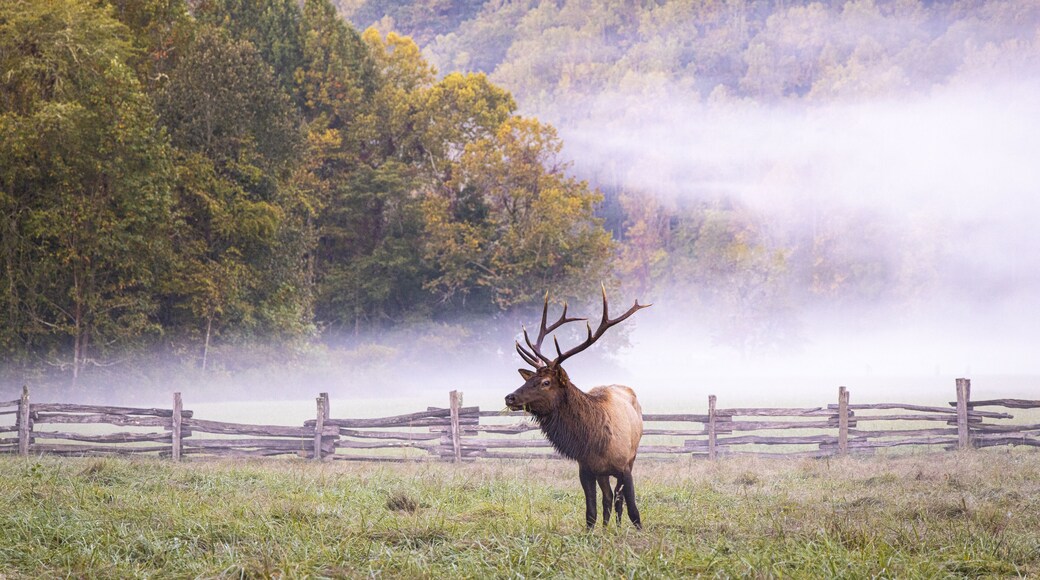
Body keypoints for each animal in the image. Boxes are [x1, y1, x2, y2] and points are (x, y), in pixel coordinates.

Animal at [505, 287, 650, 530]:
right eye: (530, 378)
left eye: (546, 382)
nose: (510, 397)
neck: (596, 442)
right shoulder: (586, 469)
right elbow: (591, 511)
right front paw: (594, 533)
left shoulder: (625, 467)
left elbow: (634, 509)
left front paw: (637, 531)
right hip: (602, 473)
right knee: (608, 497)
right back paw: (608, 528)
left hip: (632, 455)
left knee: (617, 498)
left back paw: (617, 527)